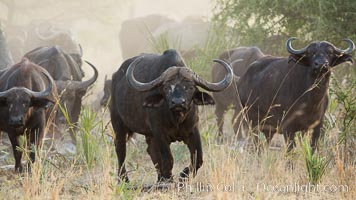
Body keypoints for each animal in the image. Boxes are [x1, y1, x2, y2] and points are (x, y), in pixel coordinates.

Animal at [110, 48, 234, 183]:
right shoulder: (160, 133)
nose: (178, 102)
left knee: (151, 151)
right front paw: (169, 179)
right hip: (118, 125)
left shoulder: (193, 131)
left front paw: (183, 176)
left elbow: (198, 159)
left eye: (190, 87)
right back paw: (124, 180)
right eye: (166, 88)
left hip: (149, 135)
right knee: (120, 150)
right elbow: (168, 159)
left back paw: (159, 179)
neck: (177, 119)